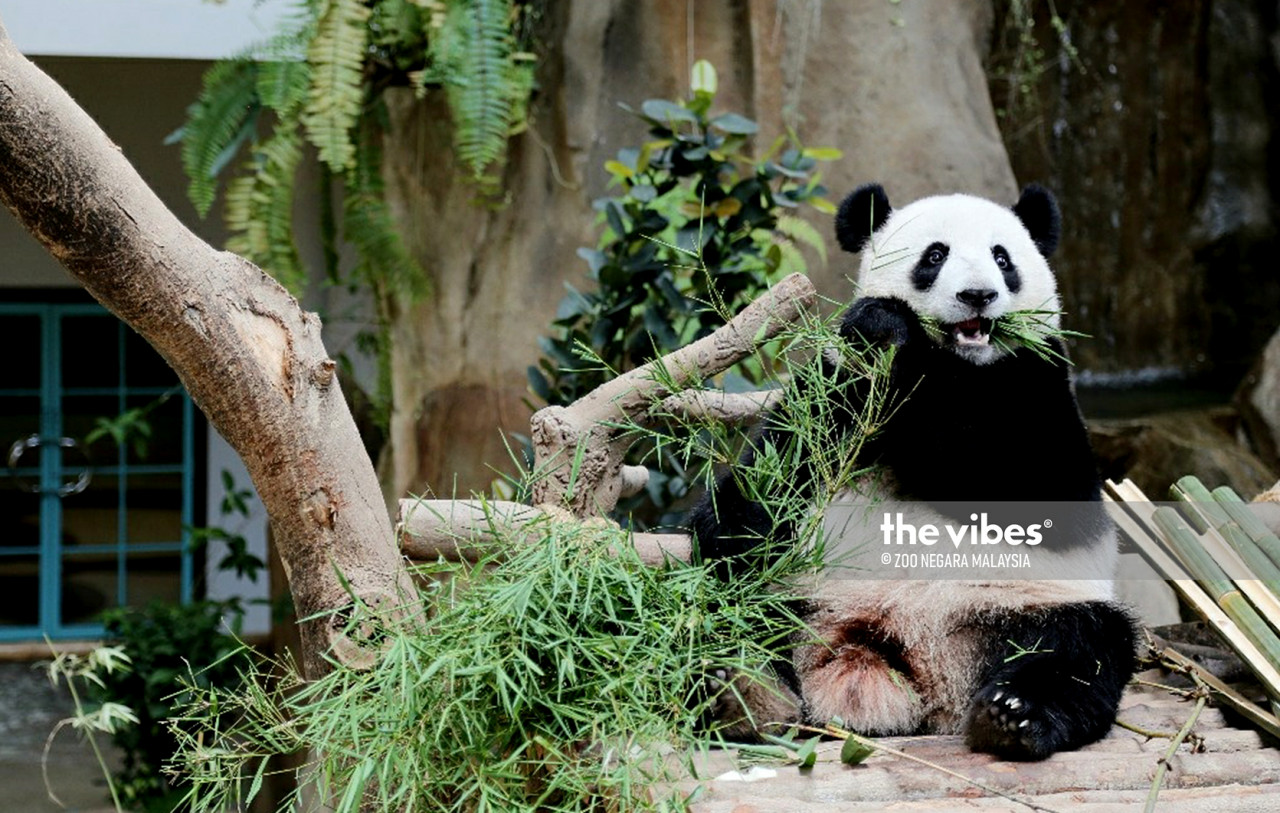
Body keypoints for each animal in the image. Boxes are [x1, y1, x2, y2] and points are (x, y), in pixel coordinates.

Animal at [691, 181, 1141, 757]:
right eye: (935, 256)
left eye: (1003, 258)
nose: (978, 295)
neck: (959, 364)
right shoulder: (830, 393)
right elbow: (771, 480)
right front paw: (882, 327)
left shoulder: (1039, 389)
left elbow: (1013, 483)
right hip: (794, 591)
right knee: (724, 594)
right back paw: (744, 694)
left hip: (1027, 605)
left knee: (1080, 650)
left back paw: (1014, 715)